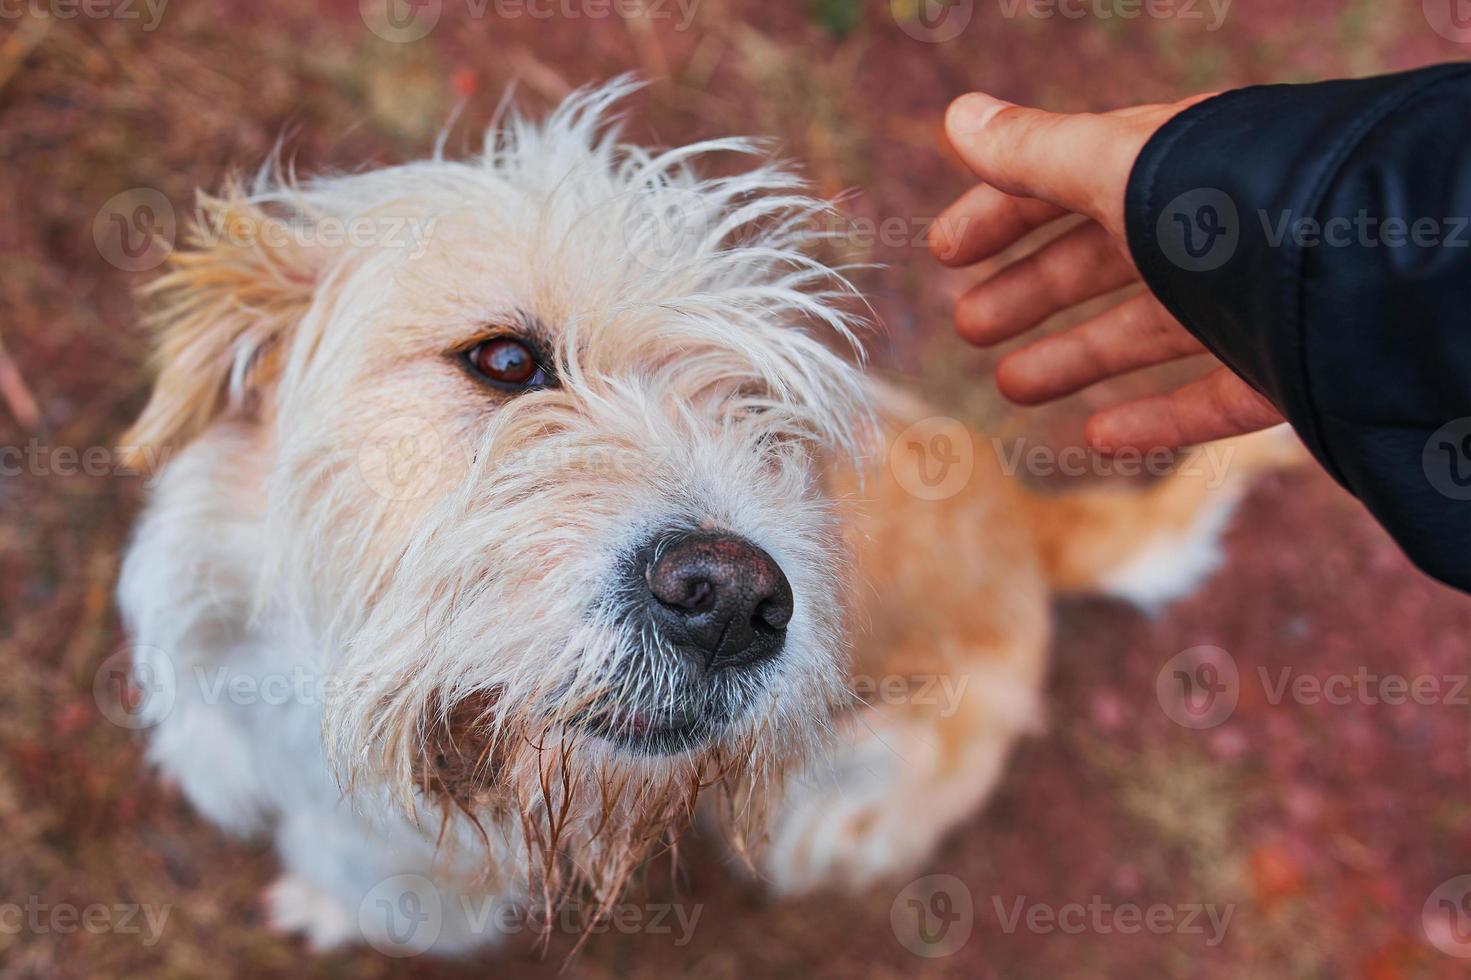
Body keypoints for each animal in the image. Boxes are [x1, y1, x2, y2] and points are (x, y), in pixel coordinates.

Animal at [117, 80, 1288, 947]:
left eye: (767, 421)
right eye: (503, 360)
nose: (731, 600)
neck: (314, 688)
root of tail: (1026, 524)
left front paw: (320, 908)